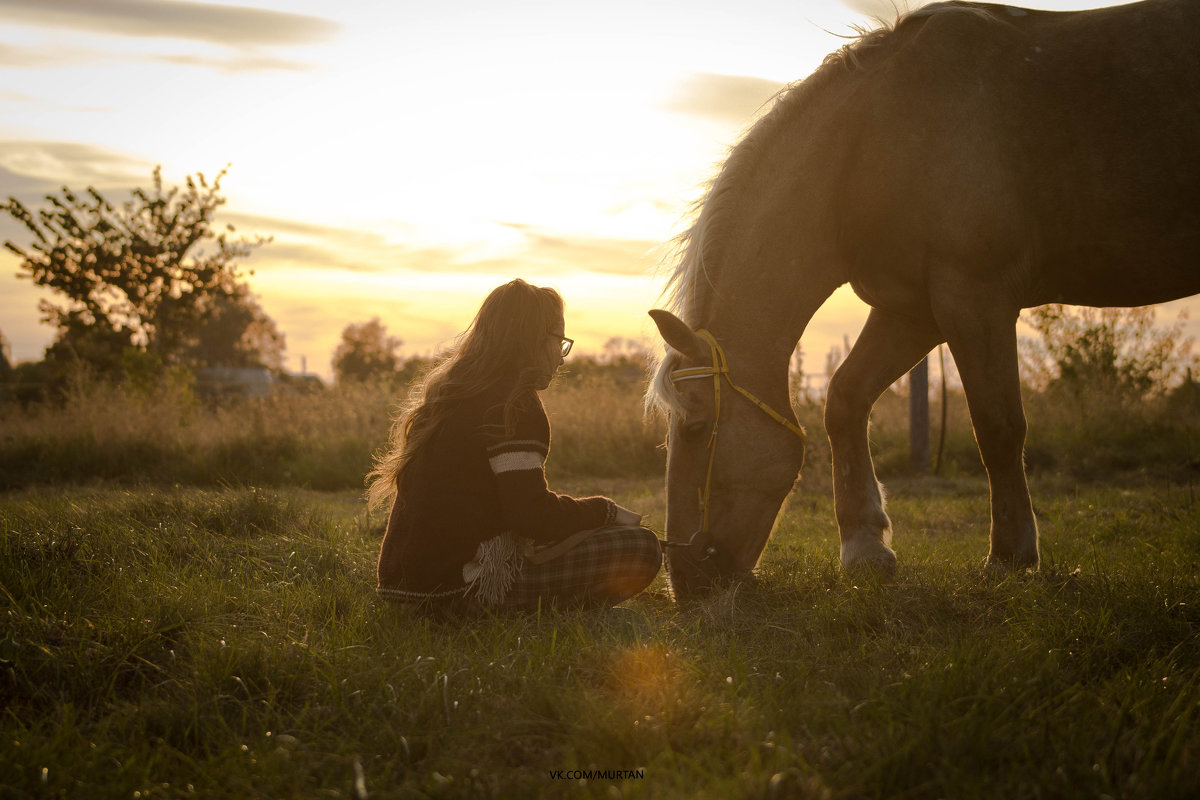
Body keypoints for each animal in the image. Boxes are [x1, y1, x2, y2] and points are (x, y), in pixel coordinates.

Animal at [652, 0, 1195, 597]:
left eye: (697, 426)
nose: (685, 584)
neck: (868, 138)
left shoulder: (974, 298)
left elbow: (998, 426)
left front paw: (1010, 556)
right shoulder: (911, 310)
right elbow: (845, 400)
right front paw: (865, 547)